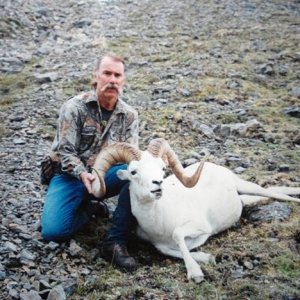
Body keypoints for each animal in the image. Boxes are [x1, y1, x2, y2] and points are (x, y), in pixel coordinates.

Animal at [91, 139, 300, 282]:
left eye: (162, 168)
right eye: (134, 172)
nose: (157, 184)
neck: (160, 220)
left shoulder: (201, 227)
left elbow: (178, 235)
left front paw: (195, 274)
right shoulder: (159, 243)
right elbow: (167, 249)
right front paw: (207, 258)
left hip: (246, 185)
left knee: (276, 193)